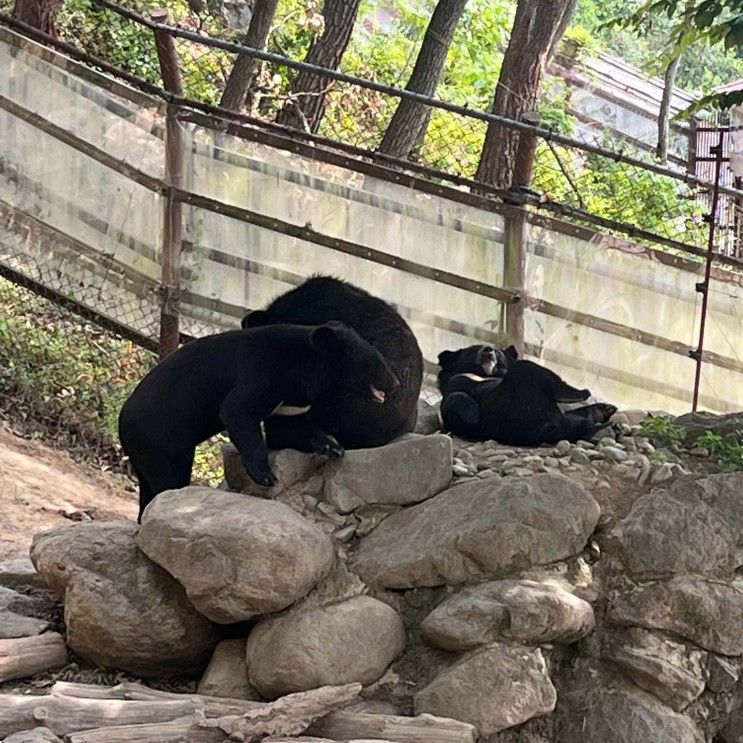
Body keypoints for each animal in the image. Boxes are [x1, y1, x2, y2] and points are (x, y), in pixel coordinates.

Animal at [120, 322, 402, 520]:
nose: (396, 383)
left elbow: (293, 427)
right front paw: (266, 476)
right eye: (374, 363)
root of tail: (122, 423)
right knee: (168, 477)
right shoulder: (267, 374)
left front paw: (333, 447)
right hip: (161, 438)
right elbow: (238, 410)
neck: (309, 365)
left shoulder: (291, 400)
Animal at [438, 344, 620, 444]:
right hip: (518, 395)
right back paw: (584, 395)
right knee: (532, 369)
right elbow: (455, 397)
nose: (488, 350)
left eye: (497, 352)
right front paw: (473, 415)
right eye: (474, 350)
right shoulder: (461, 382)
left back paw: (604, 412)